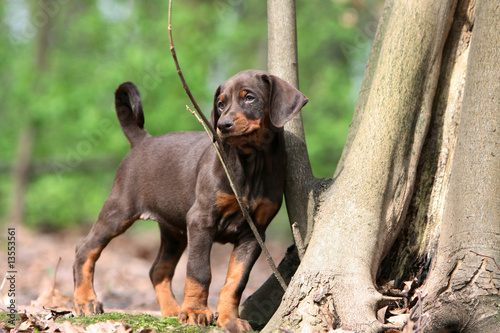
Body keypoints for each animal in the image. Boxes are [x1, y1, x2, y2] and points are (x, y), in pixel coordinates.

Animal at [73, 69, 308, 330]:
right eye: (220, 104)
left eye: (250, 98)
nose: (222, 125)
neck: (251, 161)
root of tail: (144, 141)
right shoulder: (201, 219)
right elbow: (199, 270)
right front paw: (196, 312)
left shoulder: (254, 233)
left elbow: (237, 280)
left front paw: (230, 319)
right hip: (119, 209)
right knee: (85, 248)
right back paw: (86, 301)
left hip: (174, 231)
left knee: (158, 270)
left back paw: (172, 311)